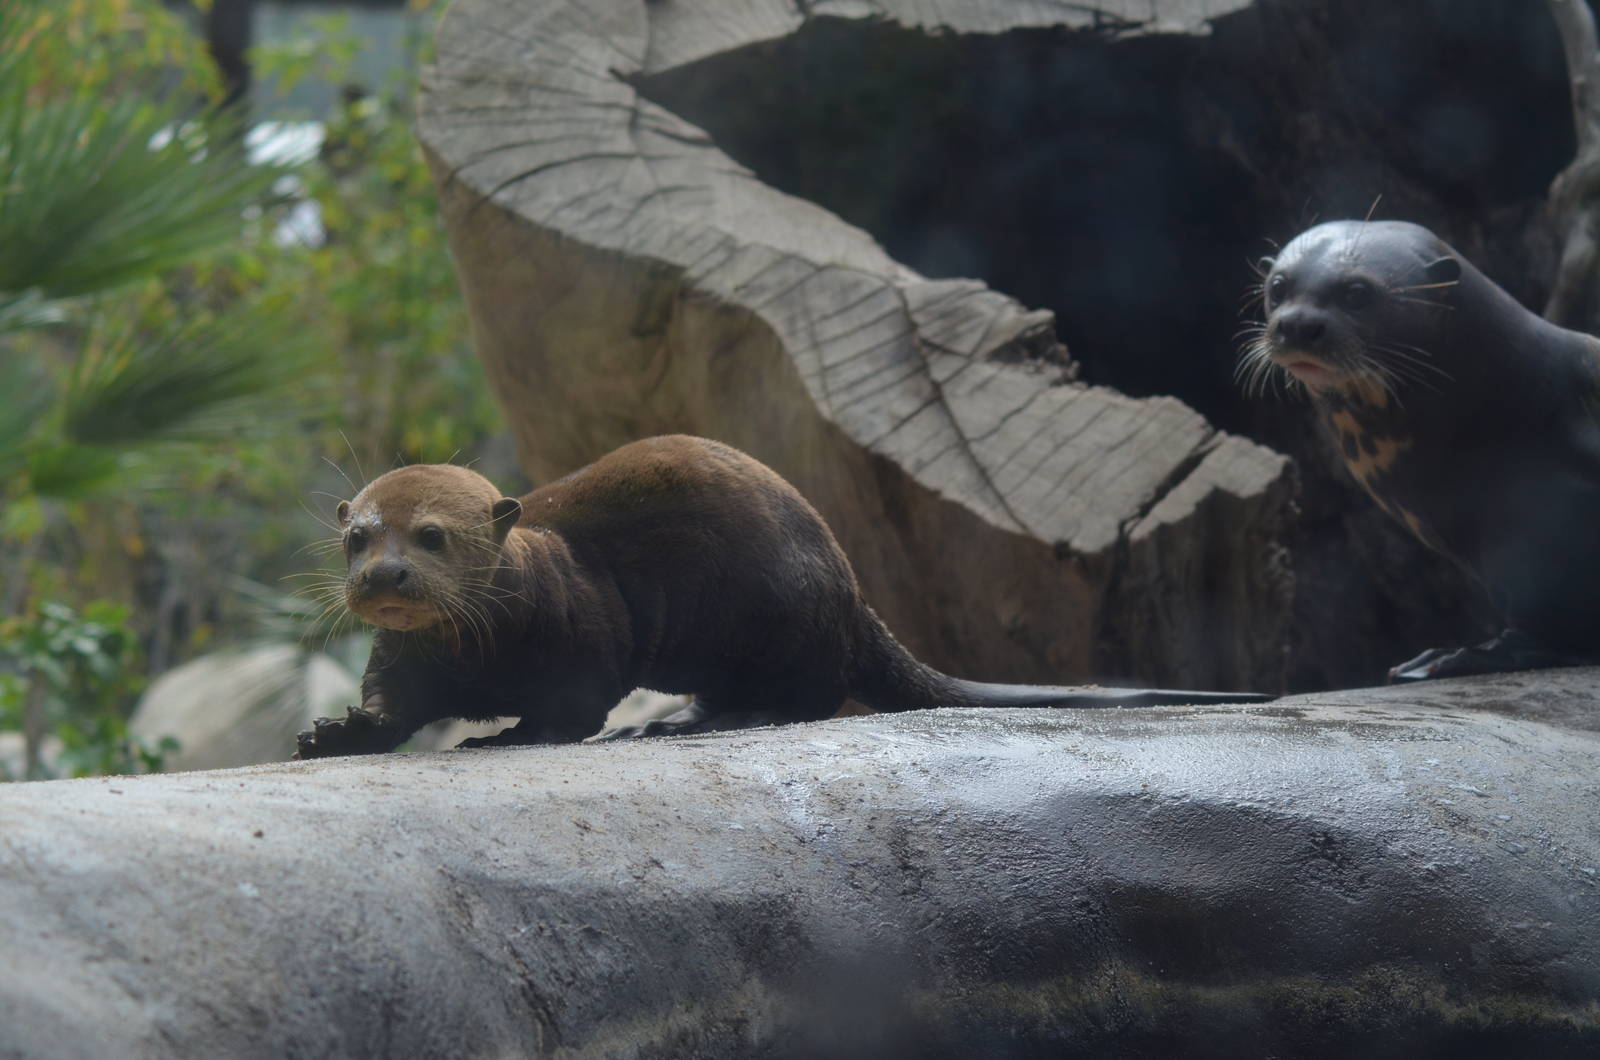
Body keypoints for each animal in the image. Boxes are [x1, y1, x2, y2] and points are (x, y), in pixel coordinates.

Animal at [294, 435, 1271, 758]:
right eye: (358, 535)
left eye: (430, 537)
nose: (384, 577)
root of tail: (850, 594)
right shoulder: (406, 656)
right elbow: (392, 702)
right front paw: (334, 732)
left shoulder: (585, 633)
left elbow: (571, 709)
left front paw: (508, 734)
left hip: (776, 618)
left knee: (803, 698)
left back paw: (690, 724)